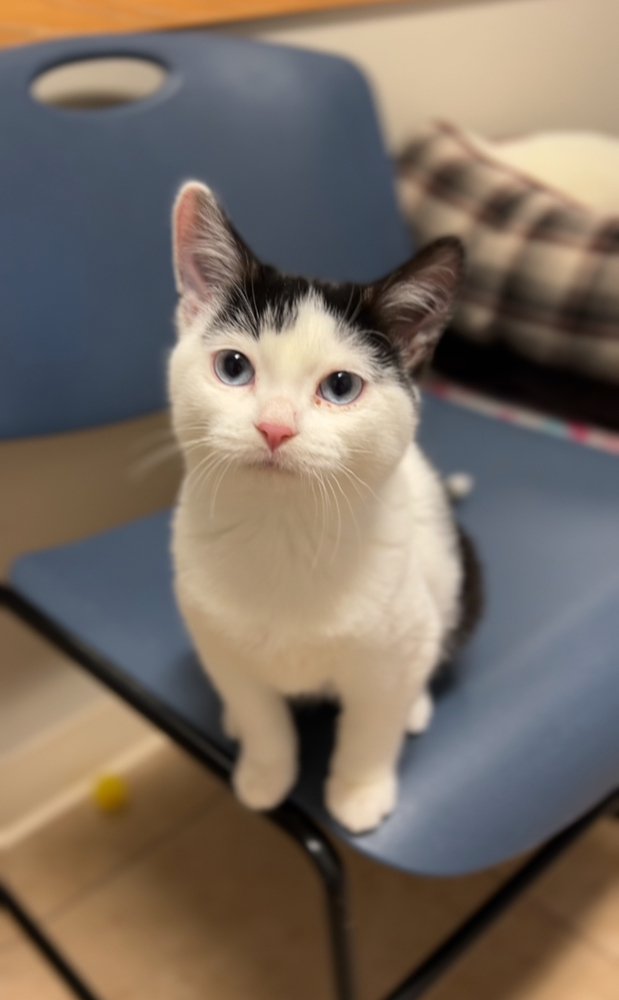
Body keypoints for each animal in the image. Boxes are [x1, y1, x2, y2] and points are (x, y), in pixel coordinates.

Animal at [170, 182, 484, 836]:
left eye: (341, 387)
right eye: (233, 367)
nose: (274, 427)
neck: (283, 532)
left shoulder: (391, 645)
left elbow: (371, 723)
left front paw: (359, 790)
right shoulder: (213, 637)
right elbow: (258, 709)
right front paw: (265, 772)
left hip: (455, 577)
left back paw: (417, 705)